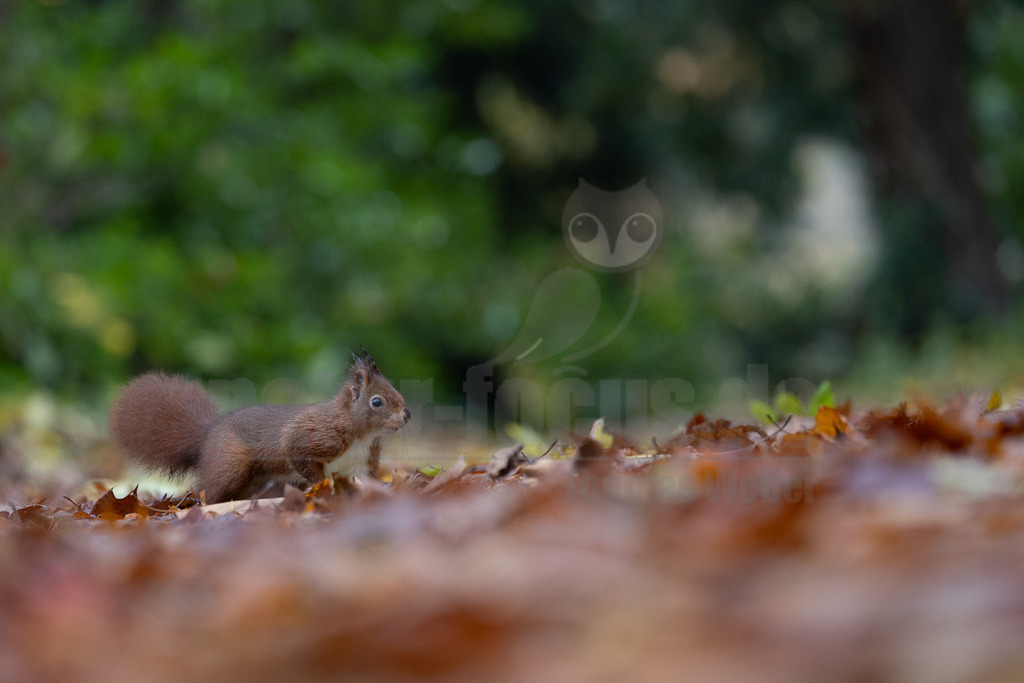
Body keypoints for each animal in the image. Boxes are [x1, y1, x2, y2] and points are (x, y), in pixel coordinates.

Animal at [109, 352, 410, 503]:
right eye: (377, 402)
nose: (407, 415)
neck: (363, 436)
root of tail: (208, 435)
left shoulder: (361, 464)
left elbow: (366, 481)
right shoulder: (313, 436)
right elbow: (297, 454)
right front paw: (318, 485)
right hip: (231, 465)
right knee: (208, 490)